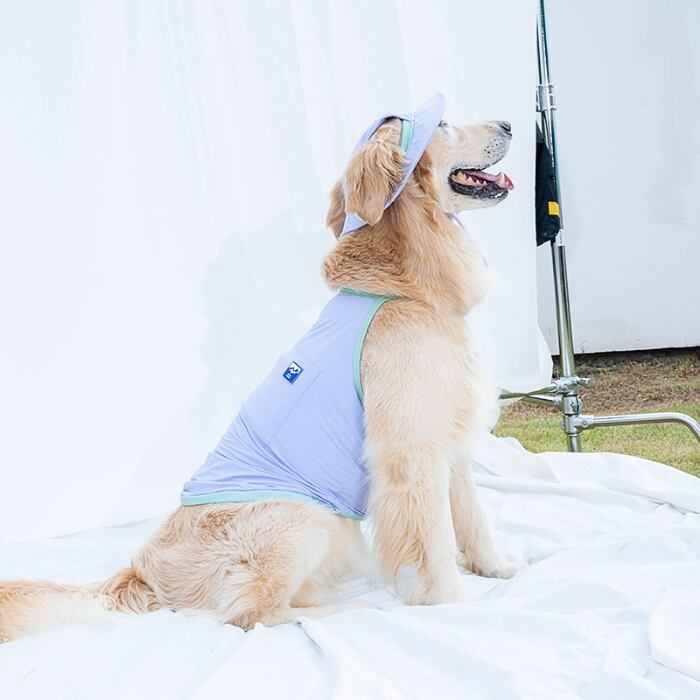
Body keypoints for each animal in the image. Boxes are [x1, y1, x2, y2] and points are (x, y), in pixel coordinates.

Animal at [0, 95, 519, 642]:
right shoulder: (413, 452)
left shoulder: (452, 436)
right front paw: (455, 606)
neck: (406, 285)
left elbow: (473, 518)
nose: (510, 122)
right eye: (444, 124)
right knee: (250, 613)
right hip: (303, 517)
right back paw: (354, 610)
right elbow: (436, 540)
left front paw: (498, 568)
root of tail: (140, 574)